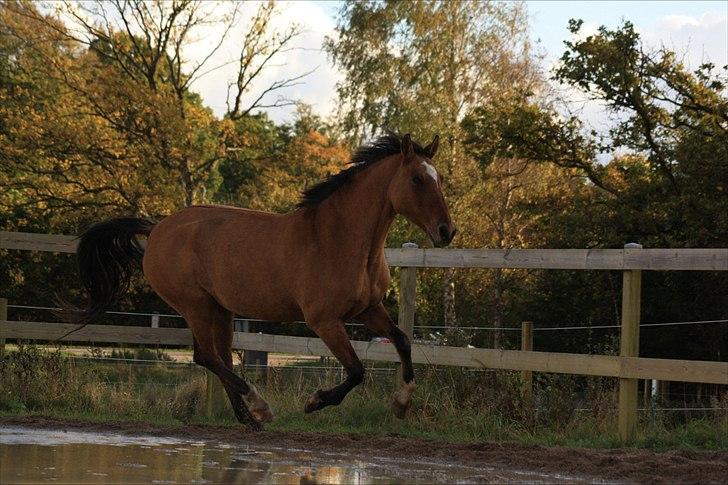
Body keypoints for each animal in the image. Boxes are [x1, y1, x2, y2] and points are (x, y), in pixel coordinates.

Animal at [68, 132, 456, 428]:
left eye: (439, 179)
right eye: (417, 179)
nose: (446, 231)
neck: (340, 240)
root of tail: (157, 228)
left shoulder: (368, 309)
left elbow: (402, 341)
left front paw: (401, 403)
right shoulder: (325, 321)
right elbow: (357, 370)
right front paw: (314, 402)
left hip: (220, 310)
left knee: (219, 357)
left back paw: (248, 419)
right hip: (195, 305)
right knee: (206, 357)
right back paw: (259, 406)